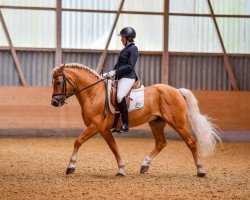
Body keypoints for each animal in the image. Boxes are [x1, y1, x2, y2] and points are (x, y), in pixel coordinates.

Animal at [50, 63, 221, 177]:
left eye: (58, 82)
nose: (54, 103)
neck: (94, 93)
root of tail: (176, 91)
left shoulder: (96, 126)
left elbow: (78, 141)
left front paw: (71, 167)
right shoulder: (104, 129)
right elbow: (114, 147)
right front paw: (121, 169)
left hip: (177, 123)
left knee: (190, 142)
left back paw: (200, 170)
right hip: (156, 123)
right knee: (161, 143)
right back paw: (144, 165)